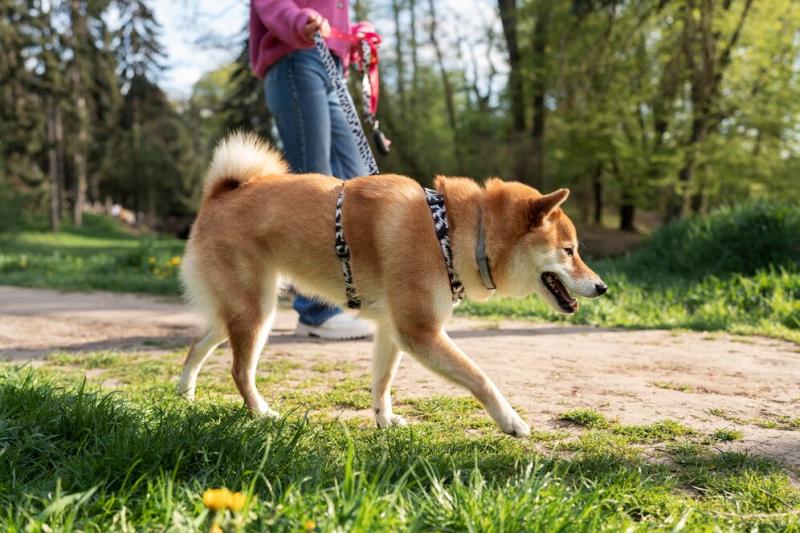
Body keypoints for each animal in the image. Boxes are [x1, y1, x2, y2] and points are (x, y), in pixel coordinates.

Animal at [180, 133, 608, 436]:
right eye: (569, 251)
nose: (603, 287)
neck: (451, 233)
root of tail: (221, 194)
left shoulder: (392, 329)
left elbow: (382, 381)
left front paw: (384, 420)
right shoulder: (420, 331)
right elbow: (479, 376)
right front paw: (511, 420)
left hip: (245, 309)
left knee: (197, 345)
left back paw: (184, 395)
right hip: (256, 311)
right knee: (239, 370)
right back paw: (262, 413)